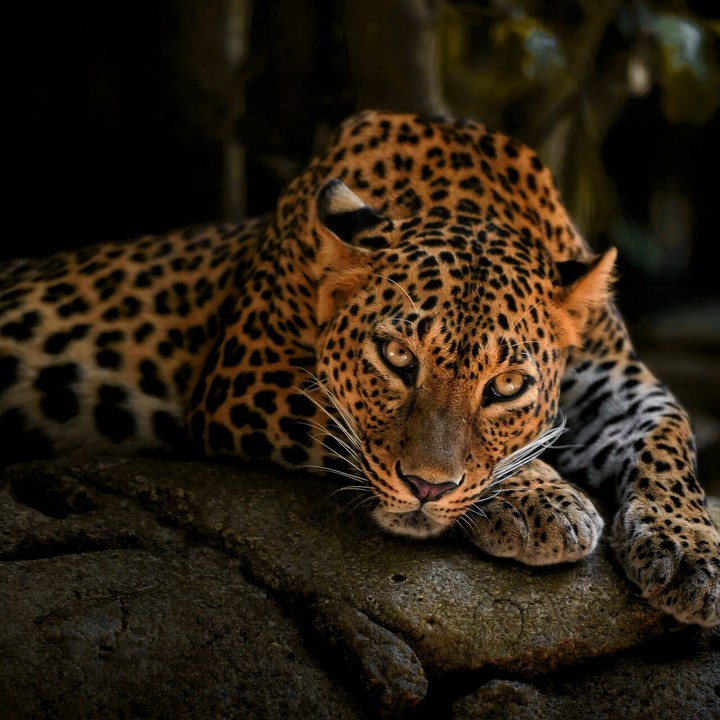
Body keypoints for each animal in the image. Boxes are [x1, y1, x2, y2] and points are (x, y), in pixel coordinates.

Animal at [1, 110, 718, 627]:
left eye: (507, 386)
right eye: (397, 358)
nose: (427, 487)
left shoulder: (616, 379)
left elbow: (668, 434)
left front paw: (691, 555)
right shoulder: (243, 376)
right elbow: (348, 429)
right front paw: (545, 500)